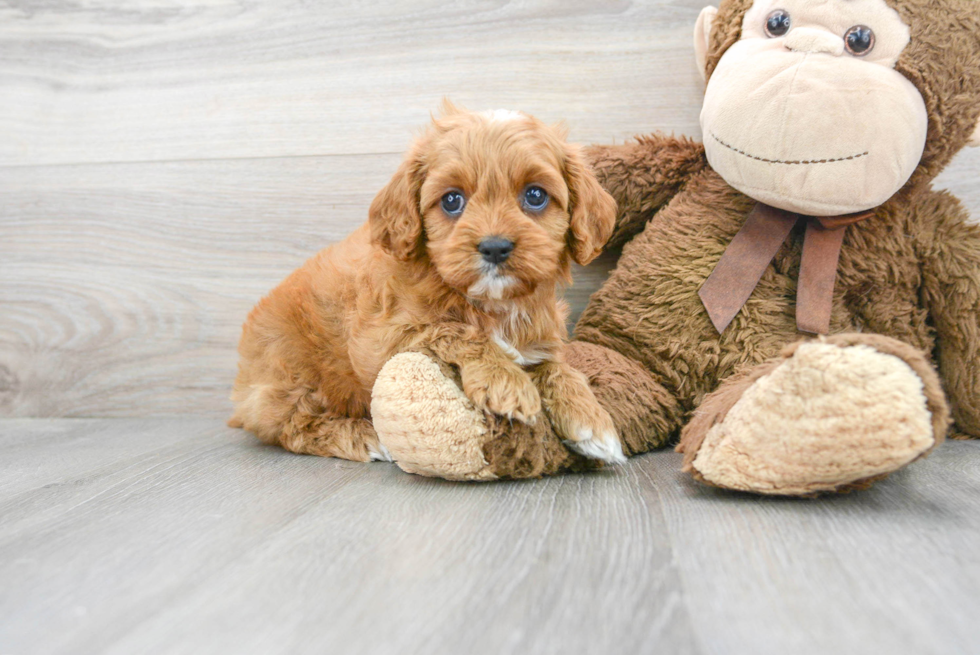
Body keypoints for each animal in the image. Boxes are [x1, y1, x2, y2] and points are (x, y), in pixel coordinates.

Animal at [230, 104, 620, 466]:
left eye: (536, 196)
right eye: (452, 200)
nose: (495, 247)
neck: (491, 304)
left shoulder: (541, 335)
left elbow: (556, 366)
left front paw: (591, 419)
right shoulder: (382, 337)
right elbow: (452, 329)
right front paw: (505, 381)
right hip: (291, 374)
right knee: (294, 426)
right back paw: (363, 437)